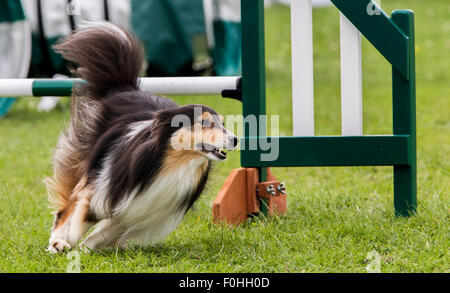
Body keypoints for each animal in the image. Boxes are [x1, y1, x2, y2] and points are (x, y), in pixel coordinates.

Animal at [44, 23, 239, 251]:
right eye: (206, 123)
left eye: (223, 123)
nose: (236, 140)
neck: (176, 164)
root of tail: (124, 88)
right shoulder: (106, 187)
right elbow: (83, 214)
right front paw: (68, 242)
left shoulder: (142, 210)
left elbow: (106, 231)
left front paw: (86, 248)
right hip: (88, 159)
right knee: (65, 208)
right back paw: (57, 240)